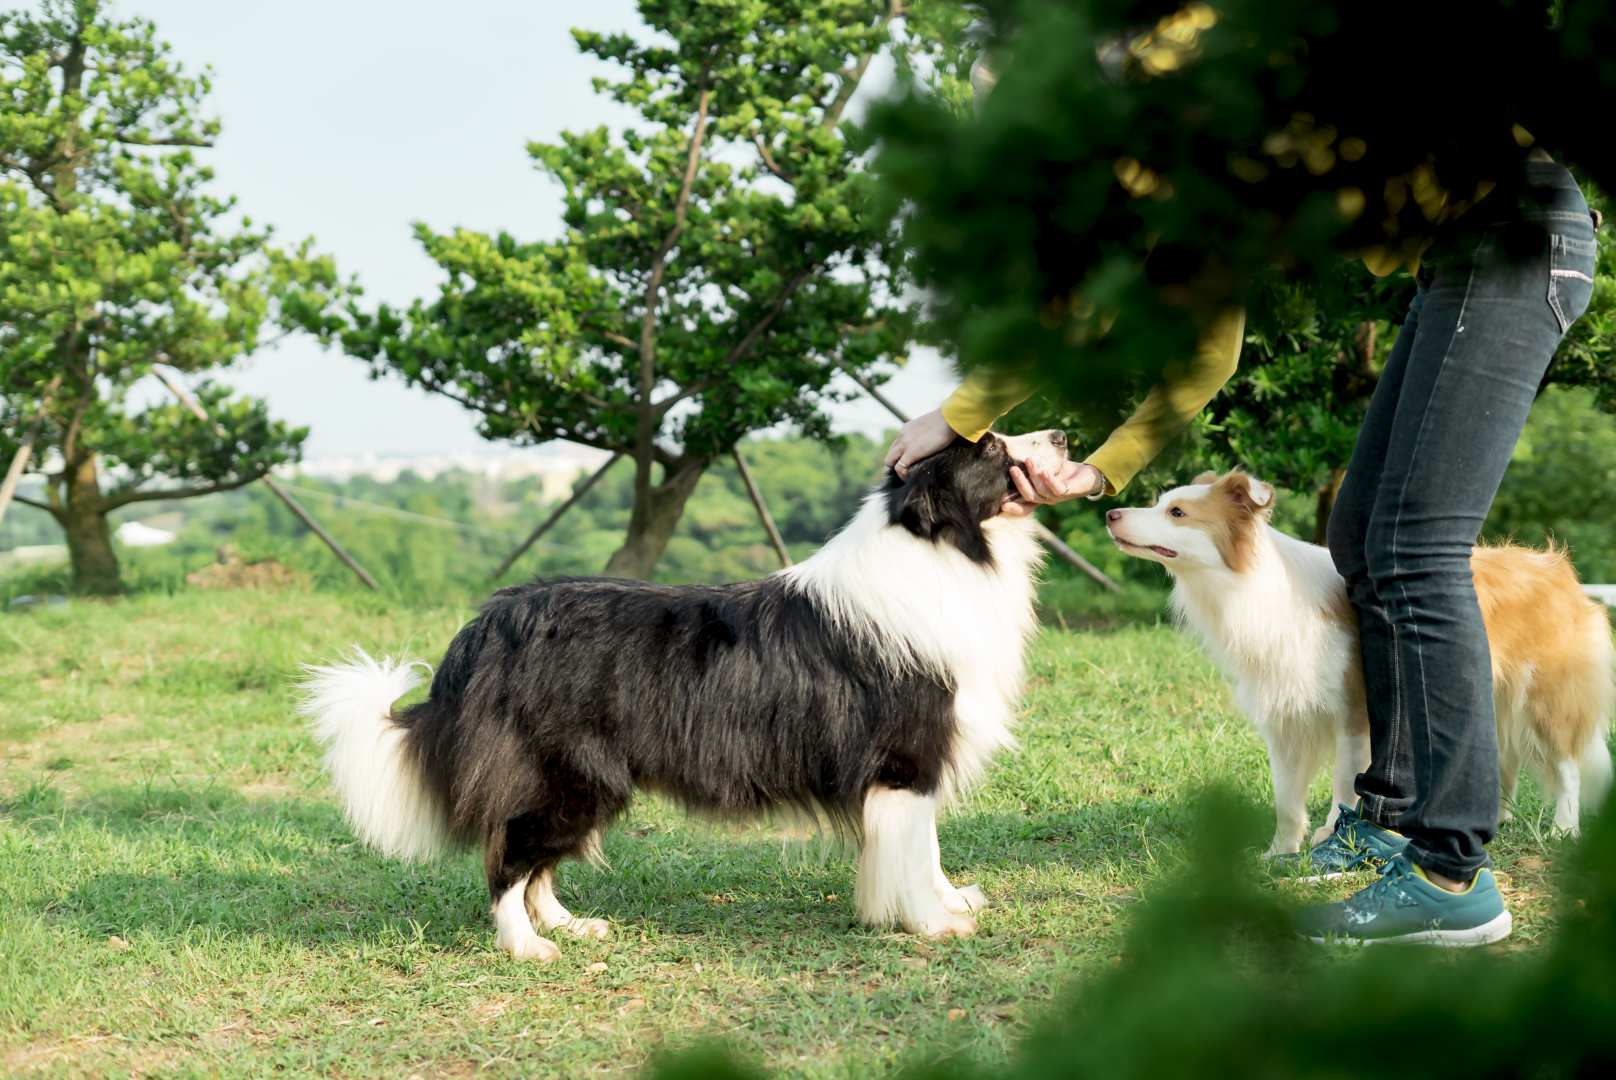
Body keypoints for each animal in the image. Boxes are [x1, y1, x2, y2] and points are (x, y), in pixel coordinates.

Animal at [1105, 468, 1609, 853]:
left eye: (1177, 513)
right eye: (1160, 502)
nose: (1110, 513)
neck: (1252, 587)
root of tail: (1557, 568)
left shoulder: (1355, 712)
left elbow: (1345, 782)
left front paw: (1332, 838)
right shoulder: (1285, 719)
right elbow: (1286, 799)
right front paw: (1280, 853)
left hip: (1544, 694)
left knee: (1566, 764)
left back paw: (1564, 829)